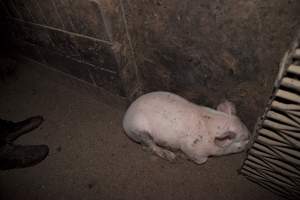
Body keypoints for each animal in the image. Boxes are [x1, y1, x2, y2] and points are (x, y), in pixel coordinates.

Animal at [122, 91, 251, 165]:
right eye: (243, 139)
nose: (249, 142)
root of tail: (125, 119)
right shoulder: (191, 147)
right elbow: (202, 160)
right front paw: (181, 156)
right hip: (140, 130)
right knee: (150, 145)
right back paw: (171, 157)